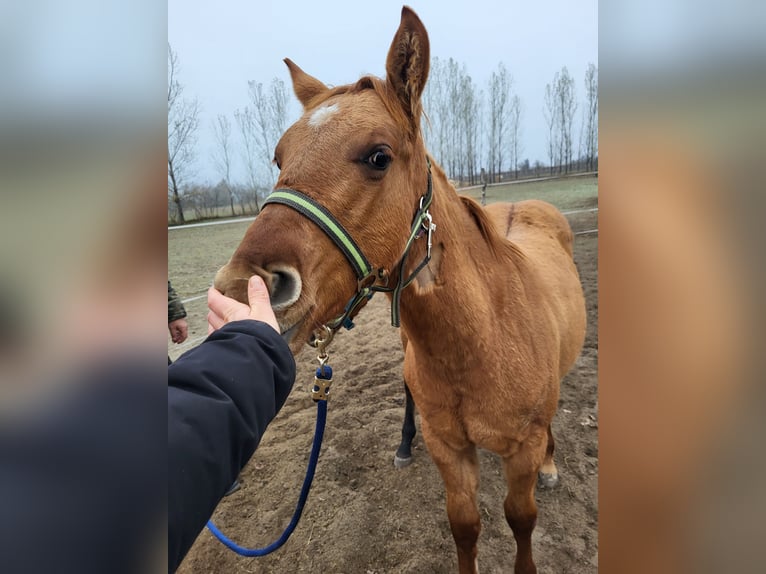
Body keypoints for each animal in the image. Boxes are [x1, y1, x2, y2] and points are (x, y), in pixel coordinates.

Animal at [213, 7, 586, 573]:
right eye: (279, 159)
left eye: (378, 156)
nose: (241, 289)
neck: (484, 341)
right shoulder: (450, 450)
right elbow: (465, 526)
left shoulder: (519, 450)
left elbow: (521, 520)